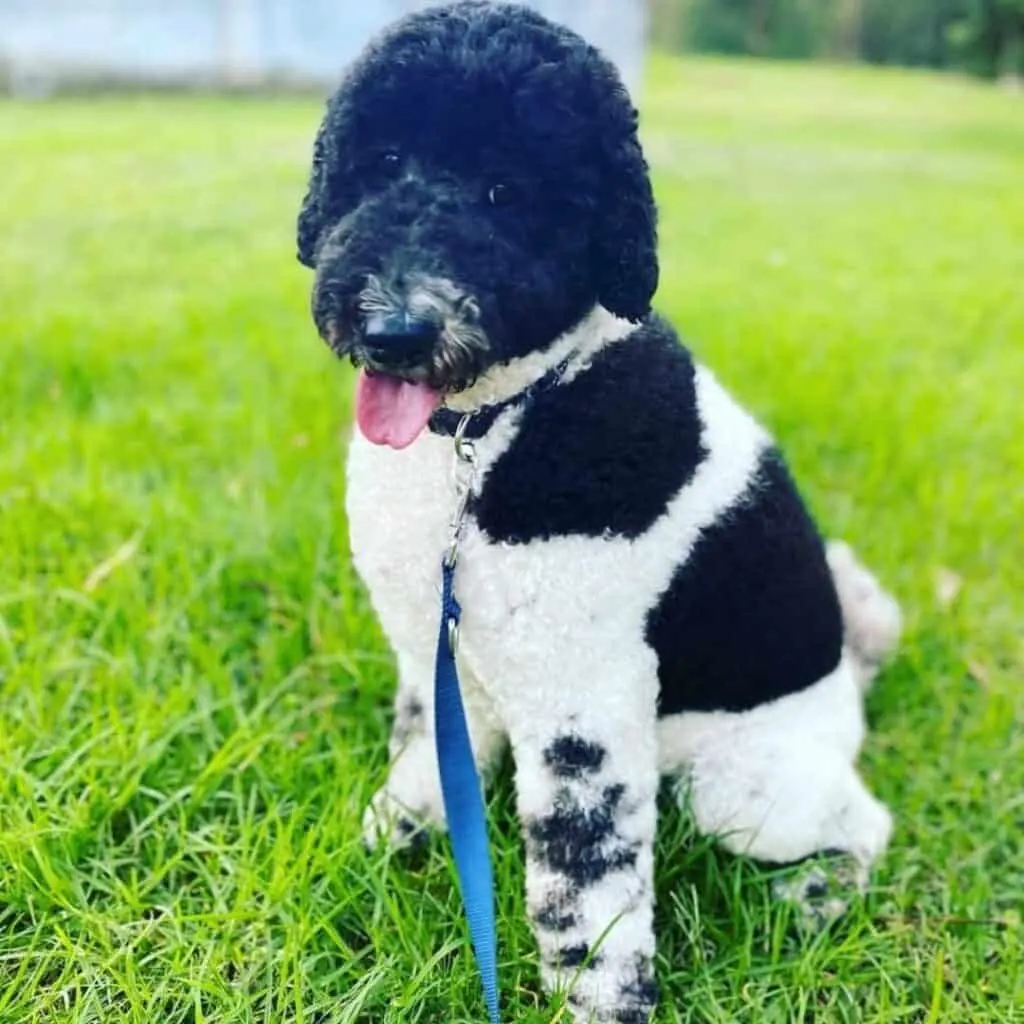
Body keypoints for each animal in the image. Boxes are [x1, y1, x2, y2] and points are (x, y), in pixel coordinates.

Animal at [294, 4, 897, 1019]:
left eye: (506, 192)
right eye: (380, 163)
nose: (395, 329)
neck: (486, 430)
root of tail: (846, 688)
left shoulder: (585, 708)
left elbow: (586, 884)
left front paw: (603, 998)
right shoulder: (433, 658)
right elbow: (424, 767)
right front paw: (394, 837)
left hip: (743, 790)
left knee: (863, 821)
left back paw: (819, 894)